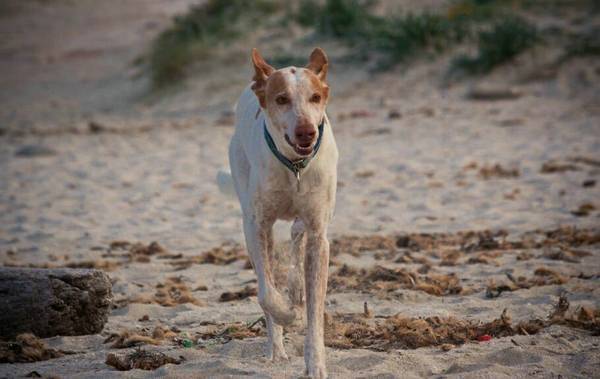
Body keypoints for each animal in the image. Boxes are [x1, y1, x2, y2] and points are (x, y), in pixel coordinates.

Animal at [227, 48, 338, 379]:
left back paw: (297, 290)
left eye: (315, 97)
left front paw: (315, 363)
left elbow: (315, 309)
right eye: (281, 99)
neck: (294, 168)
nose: (306, 132)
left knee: (297, 235)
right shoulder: (257, 227)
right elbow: (266, 295)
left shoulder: (319, 235)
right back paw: (276, 348)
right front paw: (289, 316)